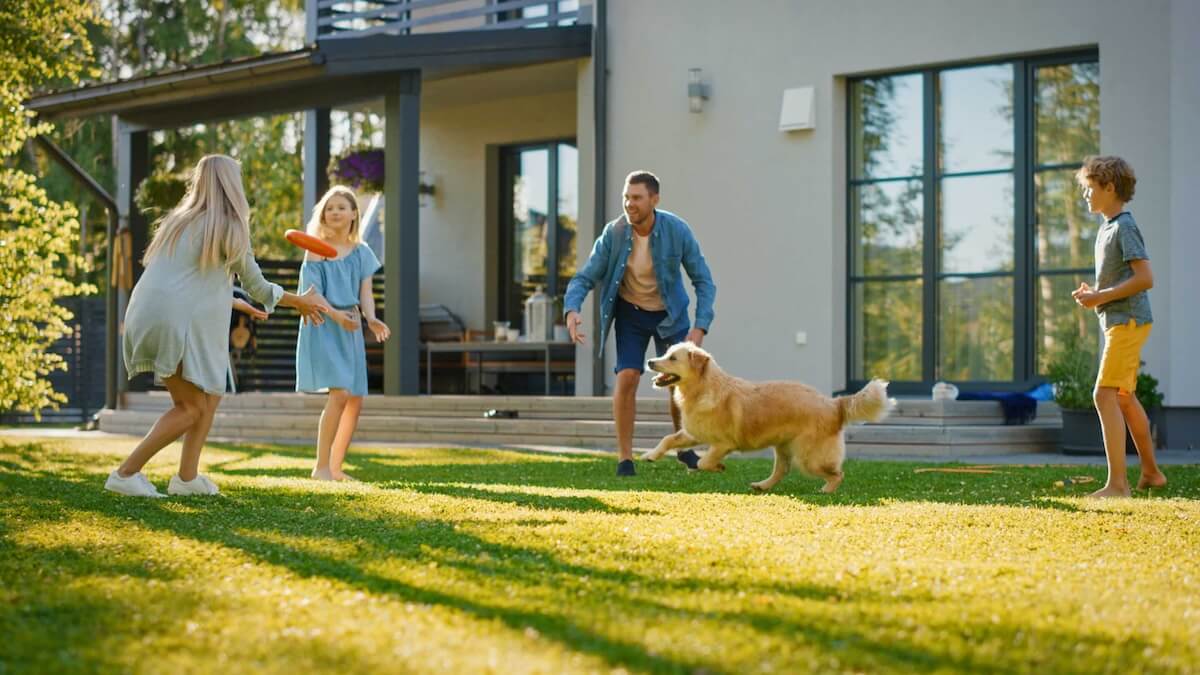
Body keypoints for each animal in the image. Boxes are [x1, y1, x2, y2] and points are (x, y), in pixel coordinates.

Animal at [648, 343, 892, 492]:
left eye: (672, 358)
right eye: (666, 353)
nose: (650, 361)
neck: (703, 388)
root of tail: (833, 403)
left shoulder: (724, 443)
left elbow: (703, 461)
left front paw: (716, 467)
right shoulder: (693, 433)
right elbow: (669, 439)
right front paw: (651, 455)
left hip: (808, 457)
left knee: (837, 473)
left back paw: (826, 490)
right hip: (783, 447)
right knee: (782, 470)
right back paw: (762, 485)